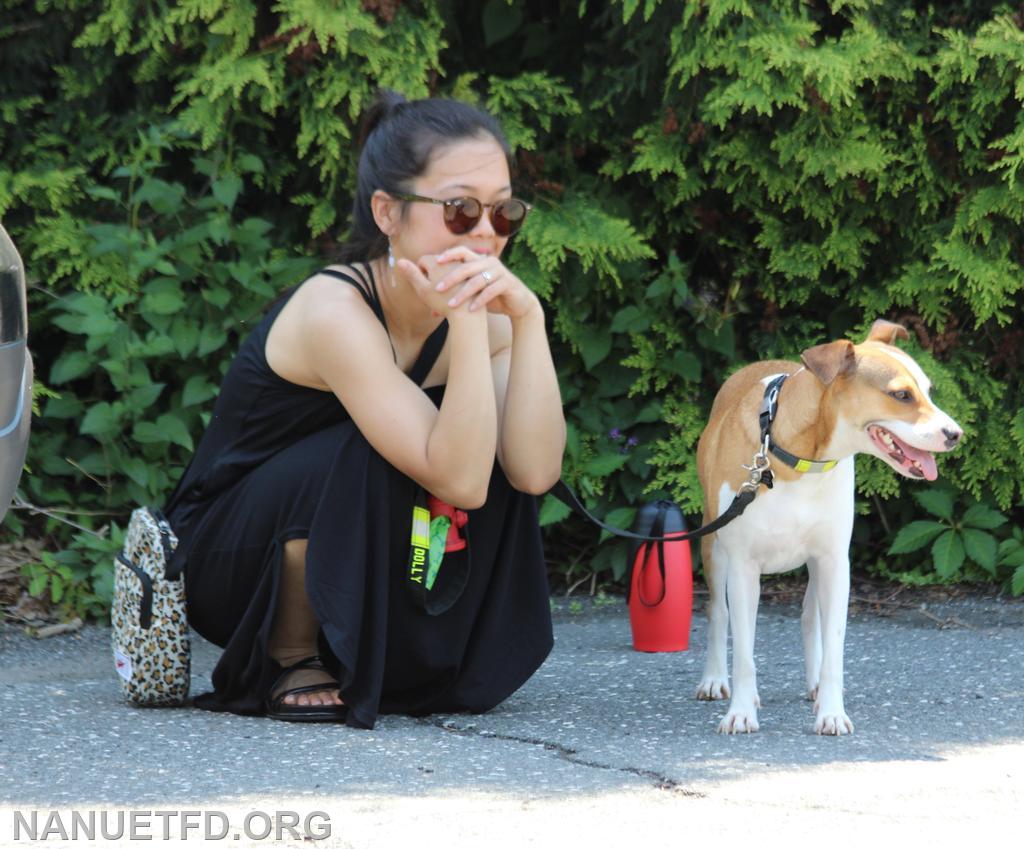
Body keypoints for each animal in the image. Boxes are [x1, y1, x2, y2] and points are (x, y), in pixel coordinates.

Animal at [692, 321, 962, 733]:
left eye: (928, 391)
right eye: (901, 394)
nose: (955, 434)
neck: (799, 456)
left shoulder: (835, 561)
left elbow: (833, 645)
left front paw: (832, 712)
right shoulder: (742, 567)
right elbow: (743, 650)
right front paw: (740, 711)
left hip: (817, 563)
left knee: (809, 617)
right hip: (714, 545)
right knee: (719, 614)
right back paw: (715, 679)